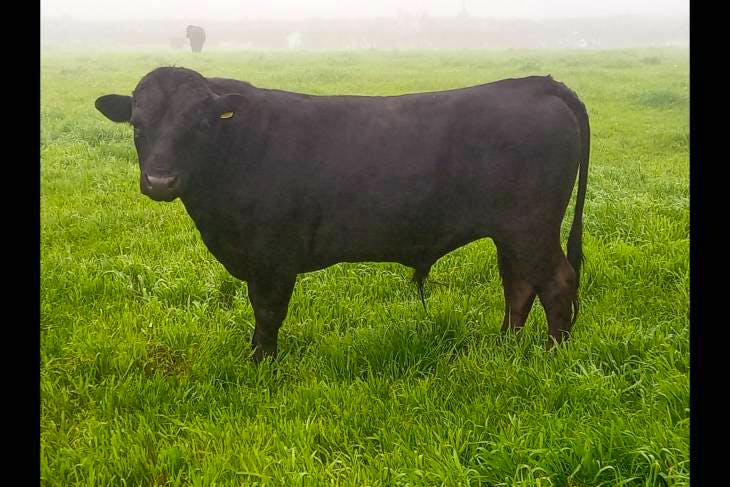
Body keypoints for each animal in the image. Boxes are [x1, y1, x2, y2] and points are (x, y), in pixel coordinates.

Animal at [94, 67, 590, 363]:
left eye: (199, 123)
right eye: (138, 124)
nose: (160, 181)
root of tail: (539, 82)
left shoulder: (272, 257)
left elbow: (267, 312)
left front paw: (260, 363)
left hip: (530, 225)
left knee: (555, 282)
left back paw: (553, 356)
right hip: (512, 231)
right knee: (519, 284)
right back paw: (504, 346)